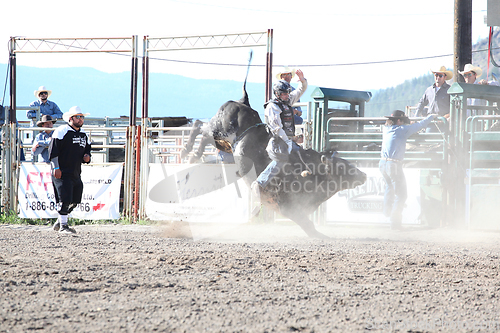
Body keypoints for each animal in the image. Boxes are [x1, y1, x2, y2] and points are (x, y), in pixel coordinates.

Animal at [181, 64, 368, 239]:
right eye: (341, 166)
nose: (364, 175)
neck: (311, 171)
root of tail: (243, 102)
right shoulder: (288, 207)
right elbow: (308, 225)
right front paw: (323, 236)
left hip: (225, 146)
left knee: (204, 135)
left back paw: (193, 156)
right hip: (219, 129)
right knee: (198, 126)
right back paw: (188, 151)